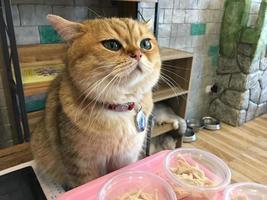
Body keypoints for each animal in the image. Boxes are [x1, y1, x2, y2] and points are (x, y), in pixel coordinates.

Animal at [30, 14, 162, 188]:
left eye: (145, 44)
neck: (119, 108)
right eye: (112, 45)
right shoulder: (81, 166)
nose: (138, 54)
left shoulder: (127, 158)